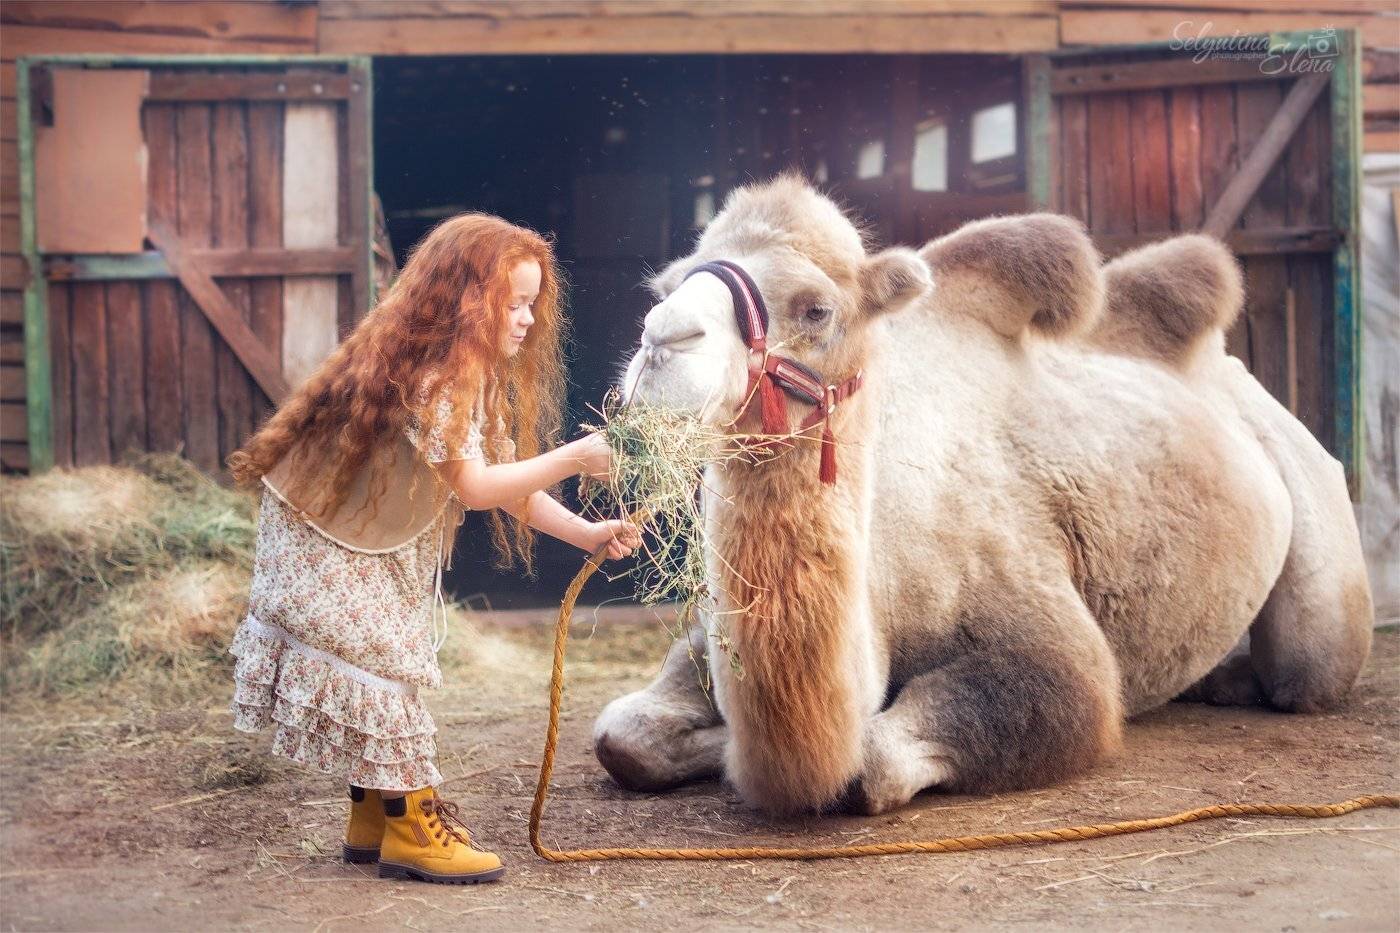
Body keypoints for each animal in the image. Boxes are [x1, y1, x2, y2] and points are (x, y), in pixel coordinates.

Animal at [592, 175, 1374, 816]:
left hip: (1316, 540)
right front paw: (719, 748)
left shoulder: (1044, 634)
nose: (662, 341)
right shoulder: (706, 636)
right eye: (666, 288)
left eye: (815, 309)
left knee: (1308, 666)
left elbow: (882, 755)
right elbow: (620, 736)